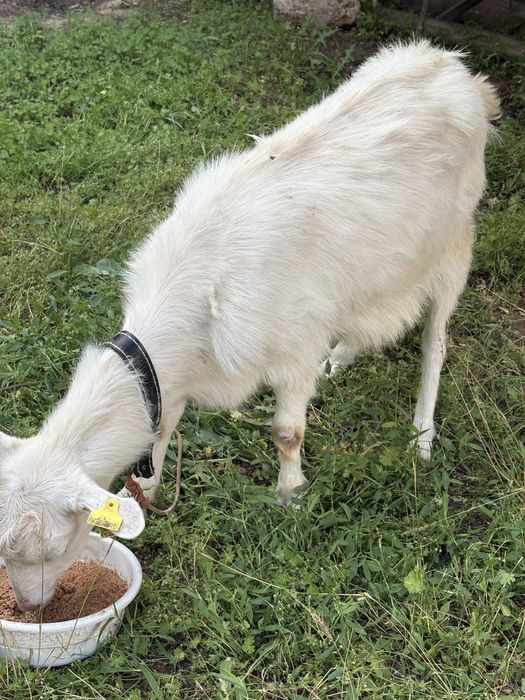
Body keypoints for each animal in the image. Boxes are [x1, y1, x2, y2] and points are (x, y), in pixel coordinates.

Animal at [0, 41, 499, 610]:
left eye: (51, 545)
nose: (30, 607)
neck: (192, 291)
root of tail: (456, 68)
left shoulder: (295, 344)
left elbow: (286, 432)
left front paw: (290, 495)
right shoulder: (177, 377)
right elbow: (161, 428)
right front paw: (143, 493)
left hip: (456, 238)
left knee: (436, 341)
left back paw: (421, 435)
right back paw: (340, 361)